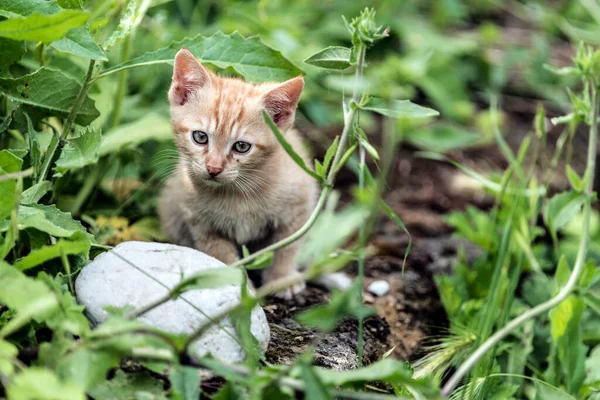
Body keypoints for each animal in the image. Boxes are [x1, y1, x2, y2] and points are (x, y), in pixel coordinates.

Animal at [158, 47, 318, 296]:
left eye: (241, 146)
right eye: (200, 137)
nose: (213, 168)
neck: (238, 195)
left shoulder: (298, 205)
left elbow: (287, 246)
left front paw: (282, 278)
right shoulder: (200, 224)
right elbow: (223, 256)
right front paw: (241, 286)